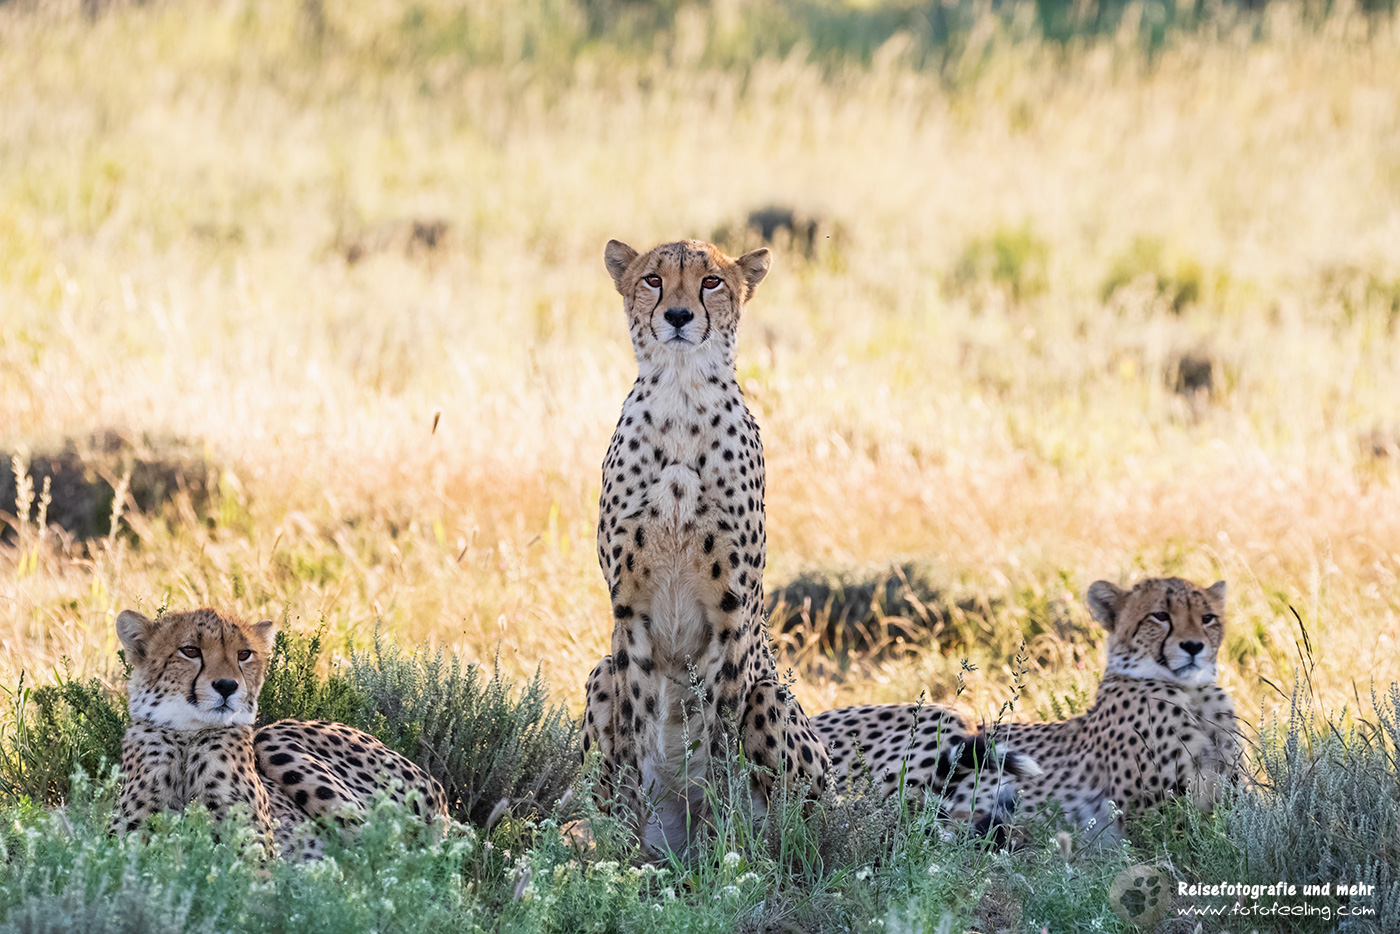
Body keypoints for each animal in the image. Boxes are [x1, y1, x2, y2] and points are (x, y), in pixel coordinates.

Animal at [112, 607, 448, 857]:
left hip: (272, 738)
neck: (187, 736)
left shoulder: (256, 854)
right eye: (190, 651)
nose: (227, 686)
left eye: (244, 654)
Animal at [580, 238, 831, 854]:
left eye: (711, 281)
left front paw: (726, 846)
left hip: (774, 699)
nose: (677, 315)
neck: (681, 394)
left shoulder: (731, 611)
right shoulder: (629, 611)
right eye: (652, 279)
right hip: (599, 673)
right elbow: (634, 734)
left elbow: (719, 736)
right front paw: (626, 851)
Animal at [813, 577, 1241, 843]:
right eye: (1160, 616)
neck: (1193, 693)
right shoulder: (1149, 816)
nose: (1194, 647)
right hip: (947, 718)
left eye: (1208, 619)